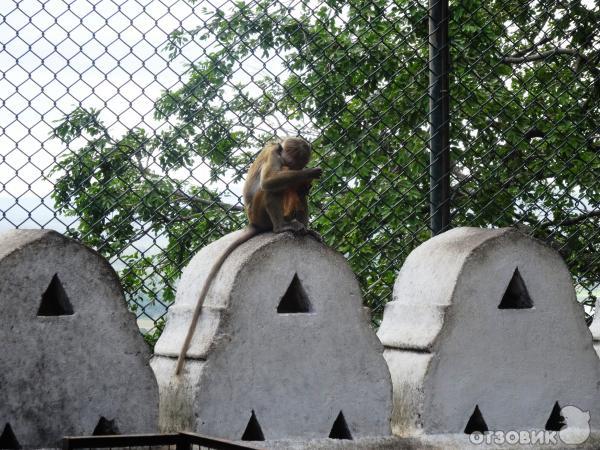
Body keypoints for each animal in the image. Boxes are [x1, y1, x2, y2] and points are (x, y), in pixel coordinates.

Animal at [175, 135, 318, 374]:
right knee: (270, 188)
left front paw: (306, 180)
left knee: (293, 190)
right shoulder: (274, 154)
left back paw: (304, 227)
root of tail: (253, 223)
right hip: (260, 214)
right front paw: (310, 173)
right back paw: (280, 227)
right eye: (292, 161)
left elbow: (298, 187)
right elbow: (269, 181)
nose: (295, 168)